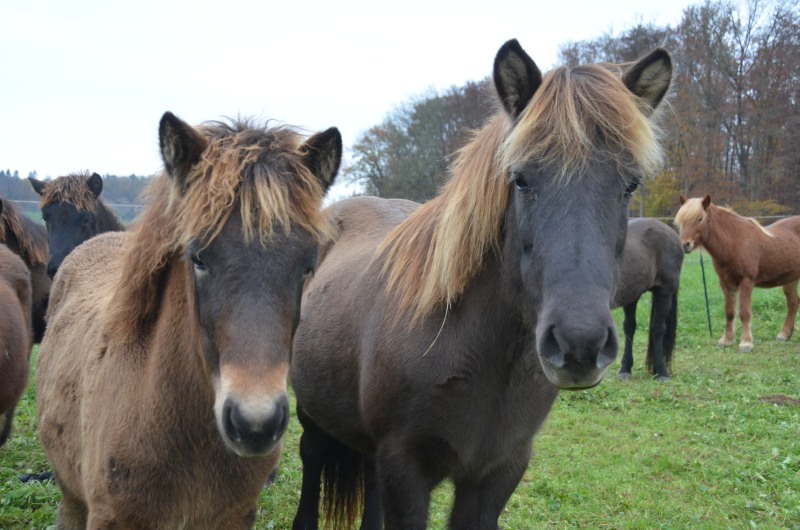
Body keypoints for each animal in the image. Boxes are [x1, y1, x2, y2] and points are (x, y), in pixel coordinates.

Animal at [290, 39, 672, 530]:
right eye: (521, 179)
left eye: (630, 185)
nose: (580, 344)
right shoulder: (404, 469)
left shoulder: (498, 471)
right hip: (312, 418)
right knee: (311, 460)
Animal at [615, 218, 683, 381]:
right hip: (631, 295)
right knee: (629, 327)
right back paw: (625, 369)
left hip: (664, 293)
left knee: (657, 328)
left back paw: (661, 371)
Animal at [675, 194, 800, 352]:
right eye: (681, 221)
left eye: (700, 219)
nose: (685, 245)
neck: (735, 242)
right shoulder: (726, 283)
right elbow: (730, 312)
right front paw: (726, 340)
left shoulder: (746, 282)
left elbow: (744, 313)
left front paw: (746, 343)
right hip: (790, 280)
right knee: (793, 304)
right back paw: (783, 335)